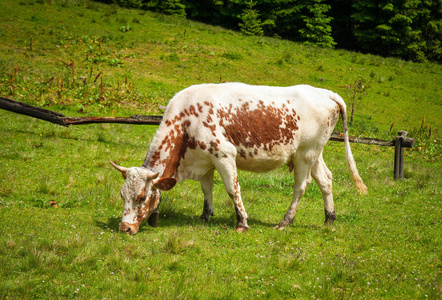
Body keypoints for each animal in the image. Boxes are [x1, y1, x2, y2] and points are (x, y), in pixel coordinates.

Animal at [110, 82, 366, 234]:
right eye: (122, 195)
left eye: (142, 197)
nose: (124, 227)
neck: (186, 122)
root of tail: (325, 92)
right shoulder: (206, 161)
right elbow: (207, 189)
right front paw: (205, 216)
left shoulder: (224, 154)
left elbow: (233, 189)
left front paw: (242, 222)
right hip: (314, 153)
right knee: (326, 179)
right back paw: (329, 218)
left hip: (306, 153)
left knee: (301, 186)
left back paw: (285, 222)